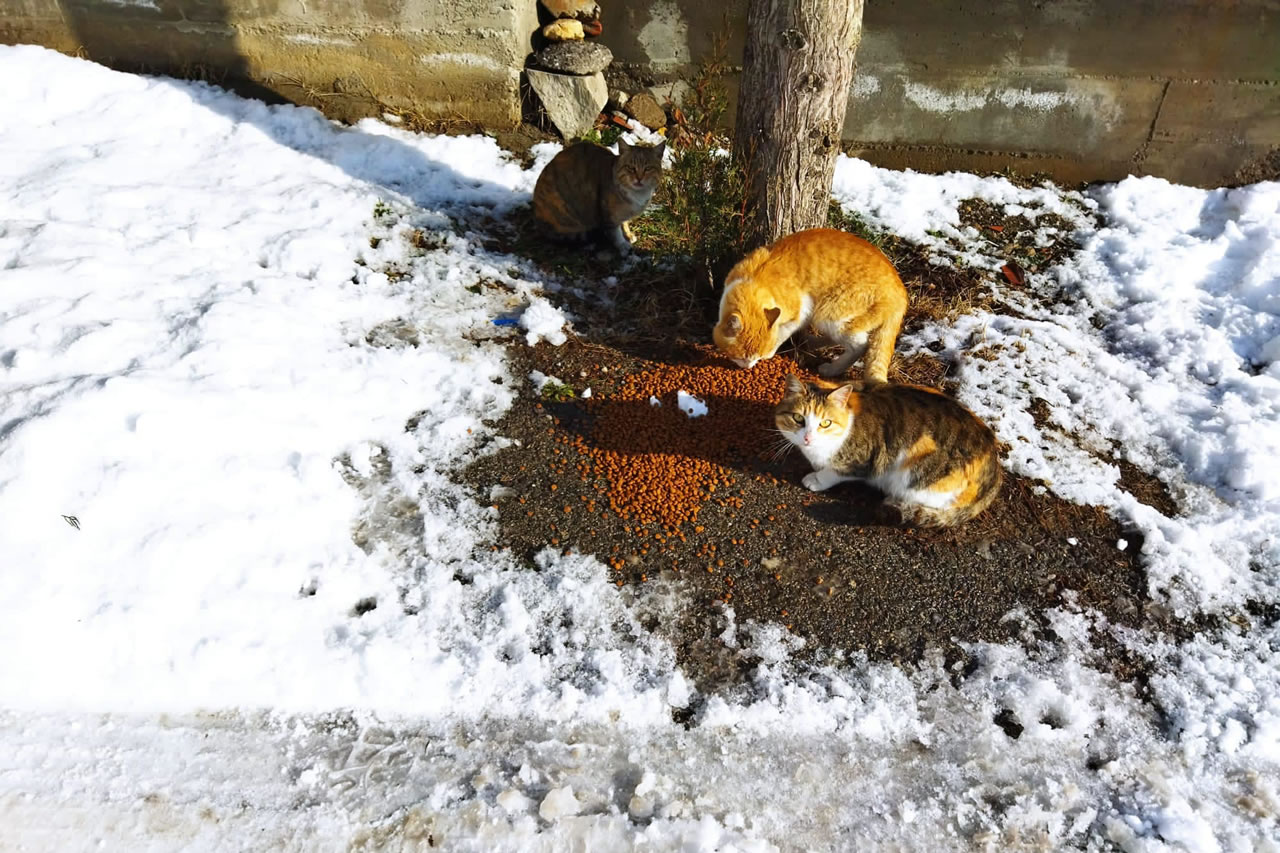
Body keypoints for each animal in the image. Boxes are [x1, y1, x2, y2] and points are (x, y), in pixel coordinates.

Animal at [532, 137, 665, 251]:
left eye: (648, 168)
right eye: (630, 168)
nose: (639, 178)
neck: (637, 195)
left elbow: (624, 223)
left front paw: (628, 234)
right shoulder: (609, 214)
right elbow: (616, 232)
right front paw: (623, 244)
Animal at [711, 229, 911, 381]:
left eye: (755, 357)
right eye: (742, 357)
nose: (748, 367)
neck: (756, 281)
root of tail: (901, 292)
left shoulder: (801, 311)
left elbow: (782, 332)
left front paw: (771, 350)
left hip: (831, 313)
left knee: (861, 345)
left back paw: (831, 369)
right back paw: (813, 342)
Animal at [773, 373, 1003, 525]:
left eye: (825, 423)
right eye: (798, 418)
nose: (808, 438)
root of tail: (995, 467)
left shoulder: (863, 461)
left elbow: (834, 472)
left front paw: (817, 479)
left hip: (918, 474)